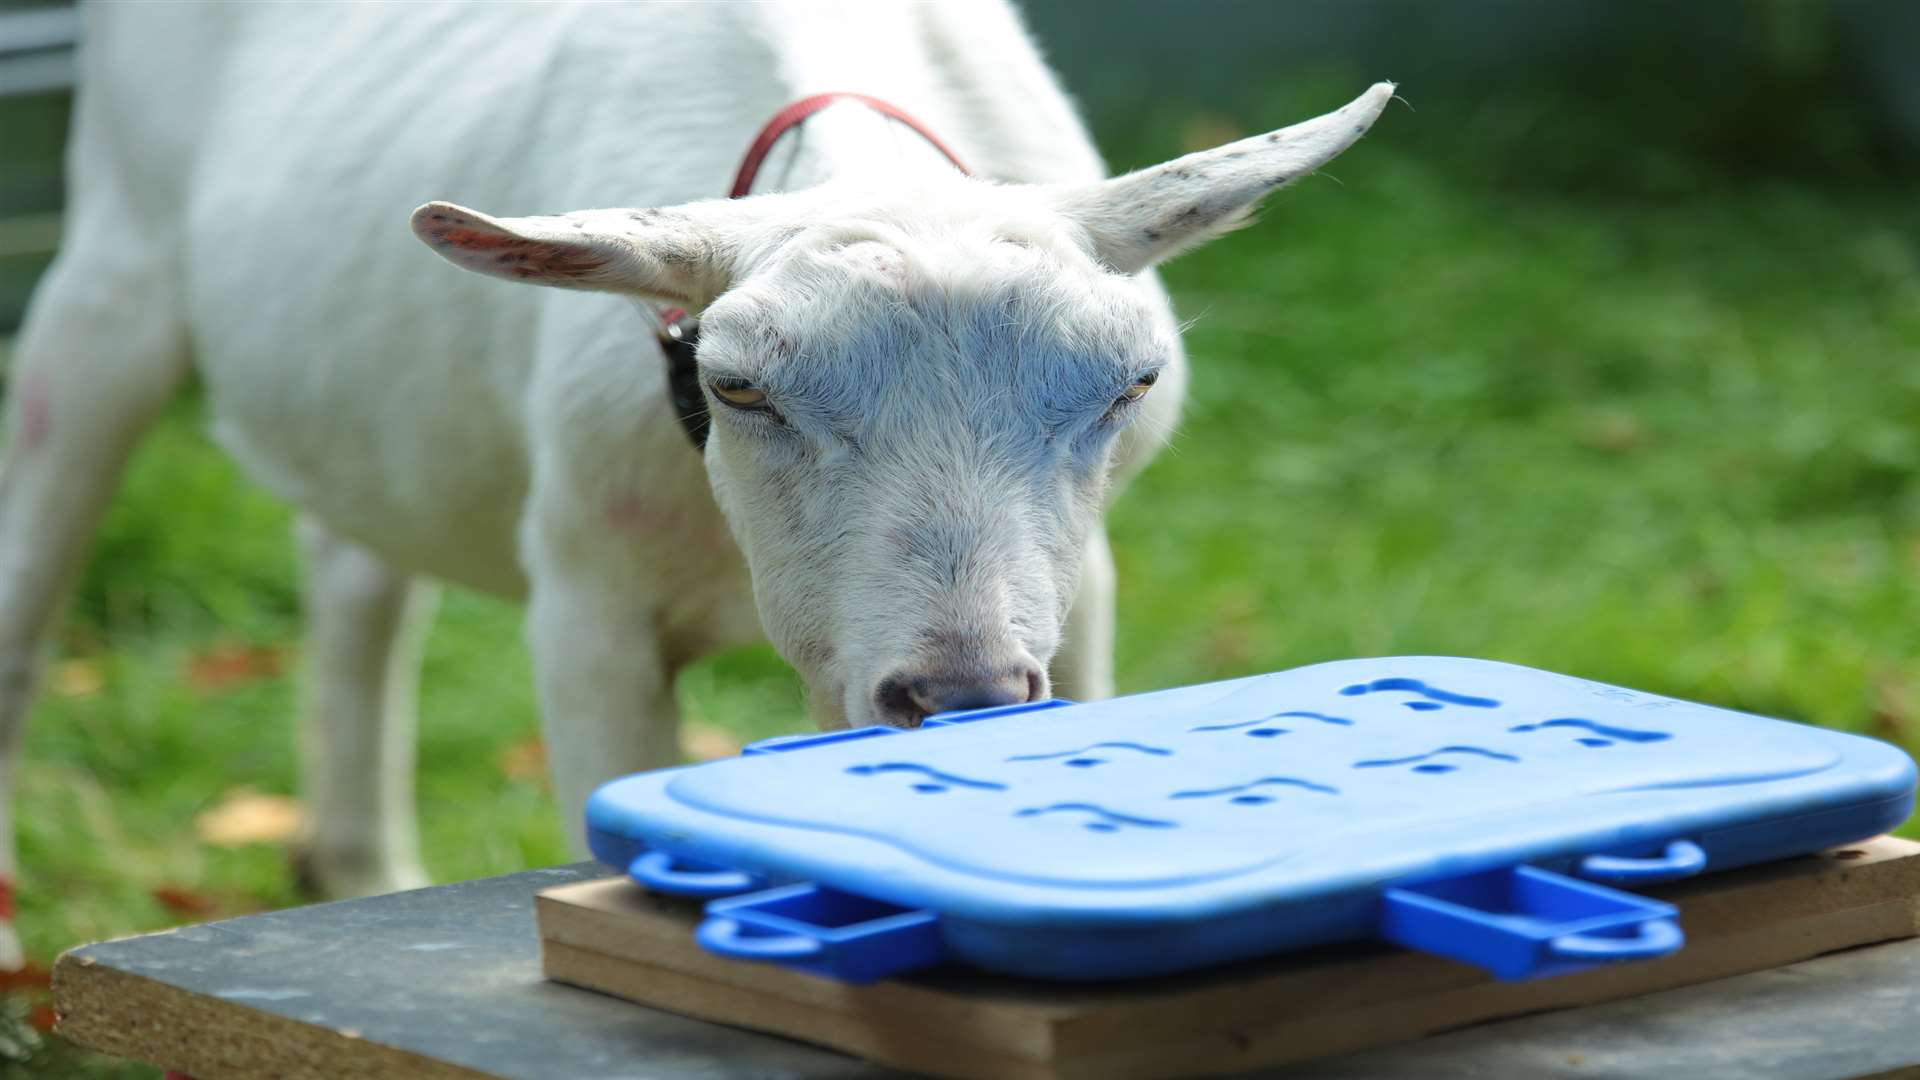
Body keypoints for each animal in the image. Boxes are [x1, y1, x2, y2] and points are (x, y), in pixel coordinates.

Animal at [0, 4, 1390, 968]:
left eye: (1131, 383)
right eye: (736, 388)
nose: (960, 698)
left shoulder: (1078, 591)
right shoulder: (587, 603)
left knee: (352, 552)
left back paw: (356, 862)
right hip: (113, 250)